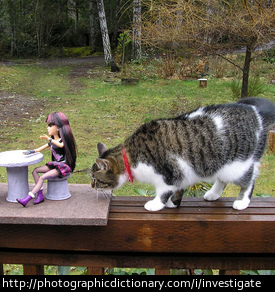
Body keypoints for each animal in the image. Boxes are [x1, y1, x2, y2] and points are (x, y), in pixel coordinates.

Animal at [91, 98, 275, 212]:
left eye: (94, 178)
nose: (92, 186)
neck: (129, 157)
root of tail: (257, 114)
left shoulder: (167, 174)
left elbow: (163, 192)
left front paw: (156, 204)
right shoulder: (182, 173)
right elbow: (178, 189)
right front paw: (174, 203)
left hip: (238, 167)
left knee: (250, 179)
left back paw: (242, 201)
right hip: (222, 167)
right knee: (222, 180)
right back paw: (213, 194)